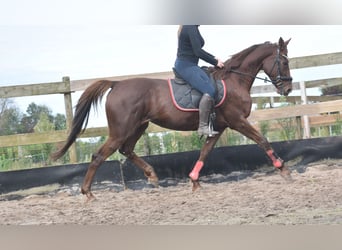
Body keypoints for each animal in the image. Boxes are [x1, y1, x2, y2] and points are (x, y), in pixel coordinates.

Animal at [52, 37, 292, 201]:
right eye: (284, 62)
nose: (288, 88)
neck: (233, 80)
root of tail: (117, 84)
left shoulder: (220, 127)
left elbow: (205, 152)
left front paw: (194, 181)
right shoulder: (237, 120)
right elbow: (262, 140)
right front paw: (283, 169)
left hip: (138, 127)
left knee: (126, 150)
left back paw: (152, 176)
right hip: (121, 130)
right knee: (99, 156)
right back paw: (88, 193)